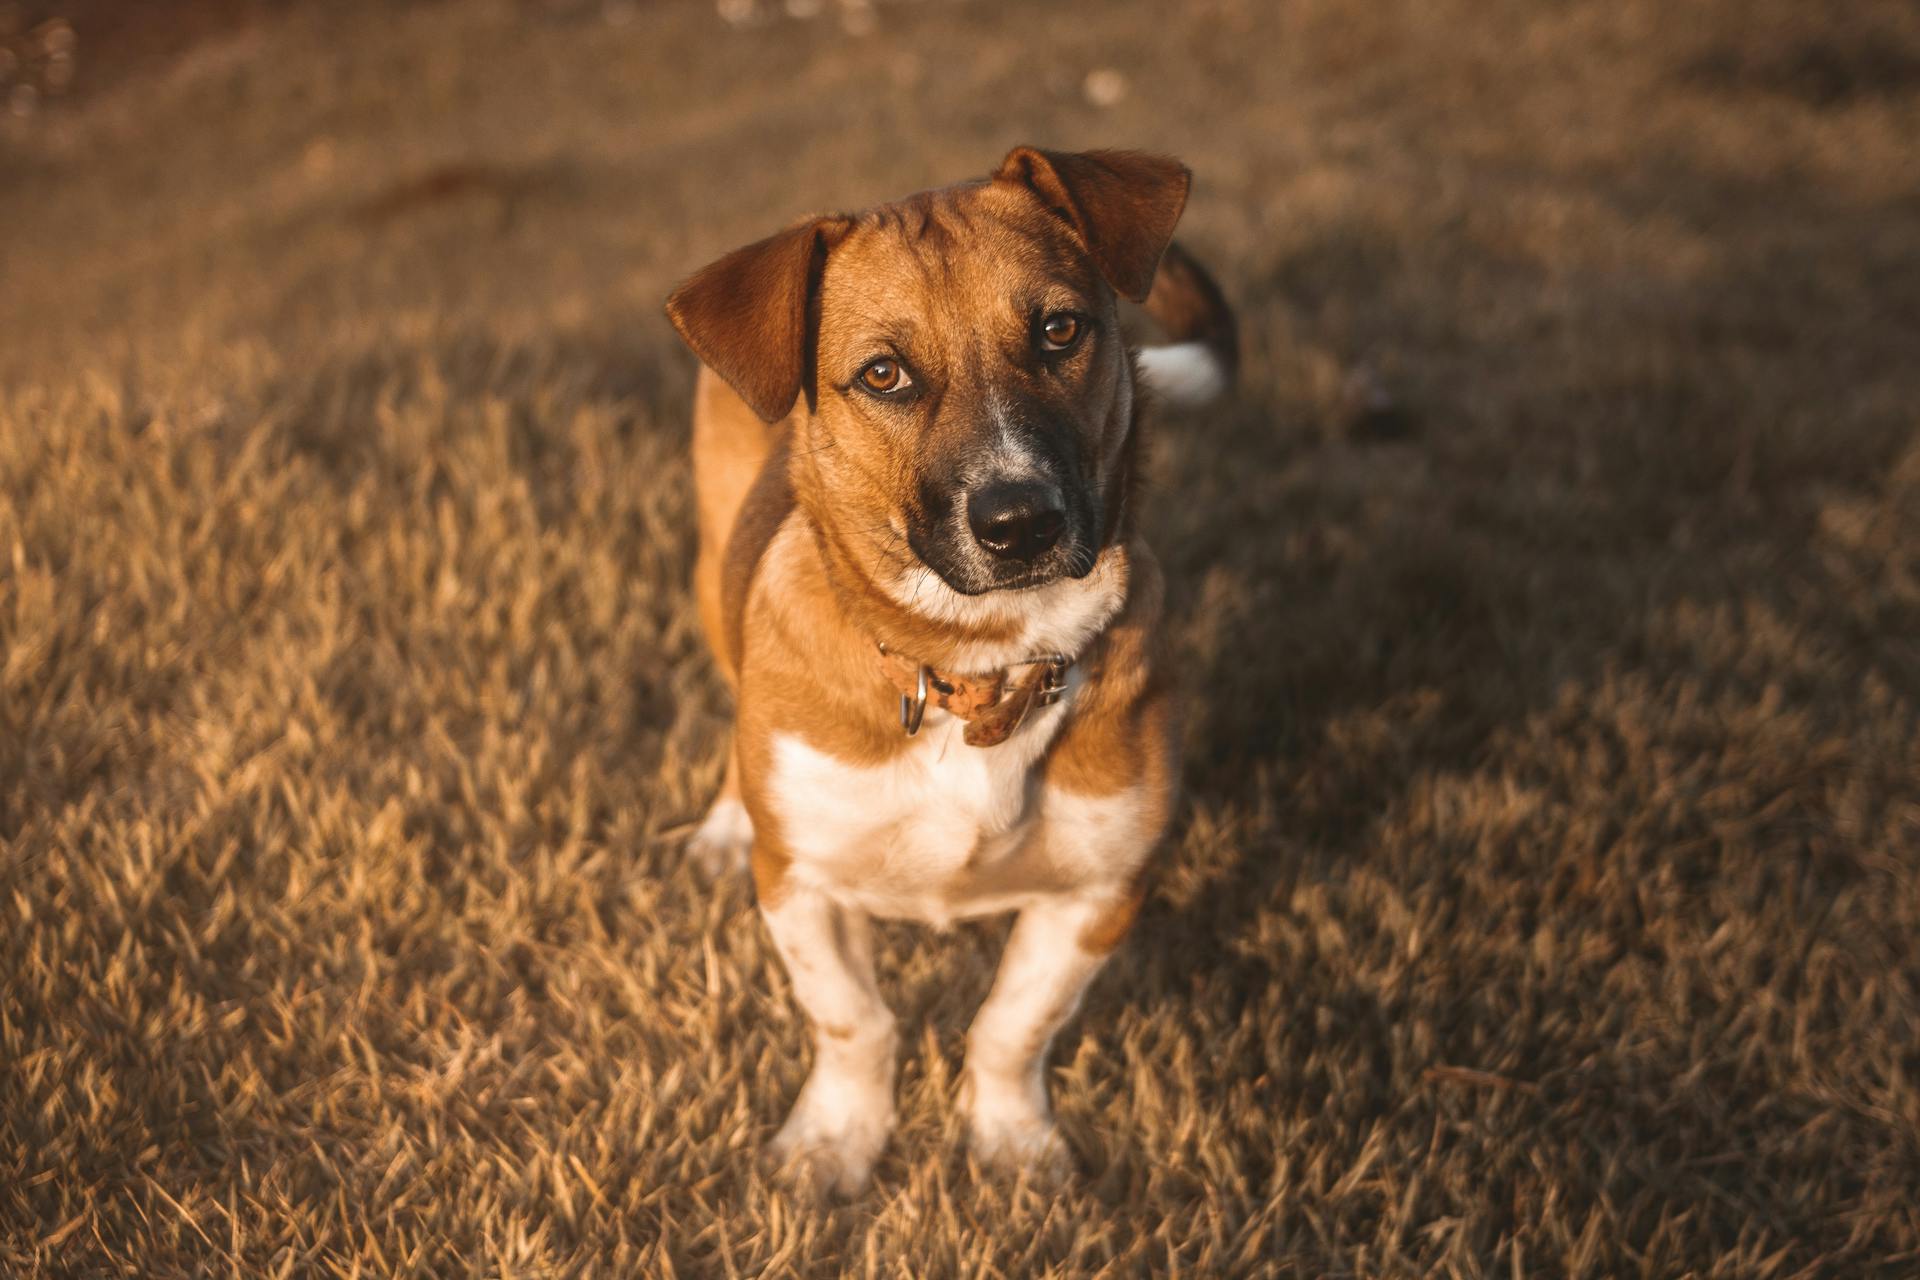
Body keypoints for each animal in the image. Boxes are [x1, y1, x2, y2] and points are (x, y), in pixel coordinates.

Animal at [672, 150, 1244, 1205]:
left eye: (1060, 329)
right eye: (883, 374)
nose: (1020, 523)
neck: (981, 666)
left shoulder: (1101, 890)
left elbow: (1013, 1026)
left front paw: (1011, 1139)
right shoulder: (800, 883)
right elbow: (854, 1023)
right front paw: (836, 1142)